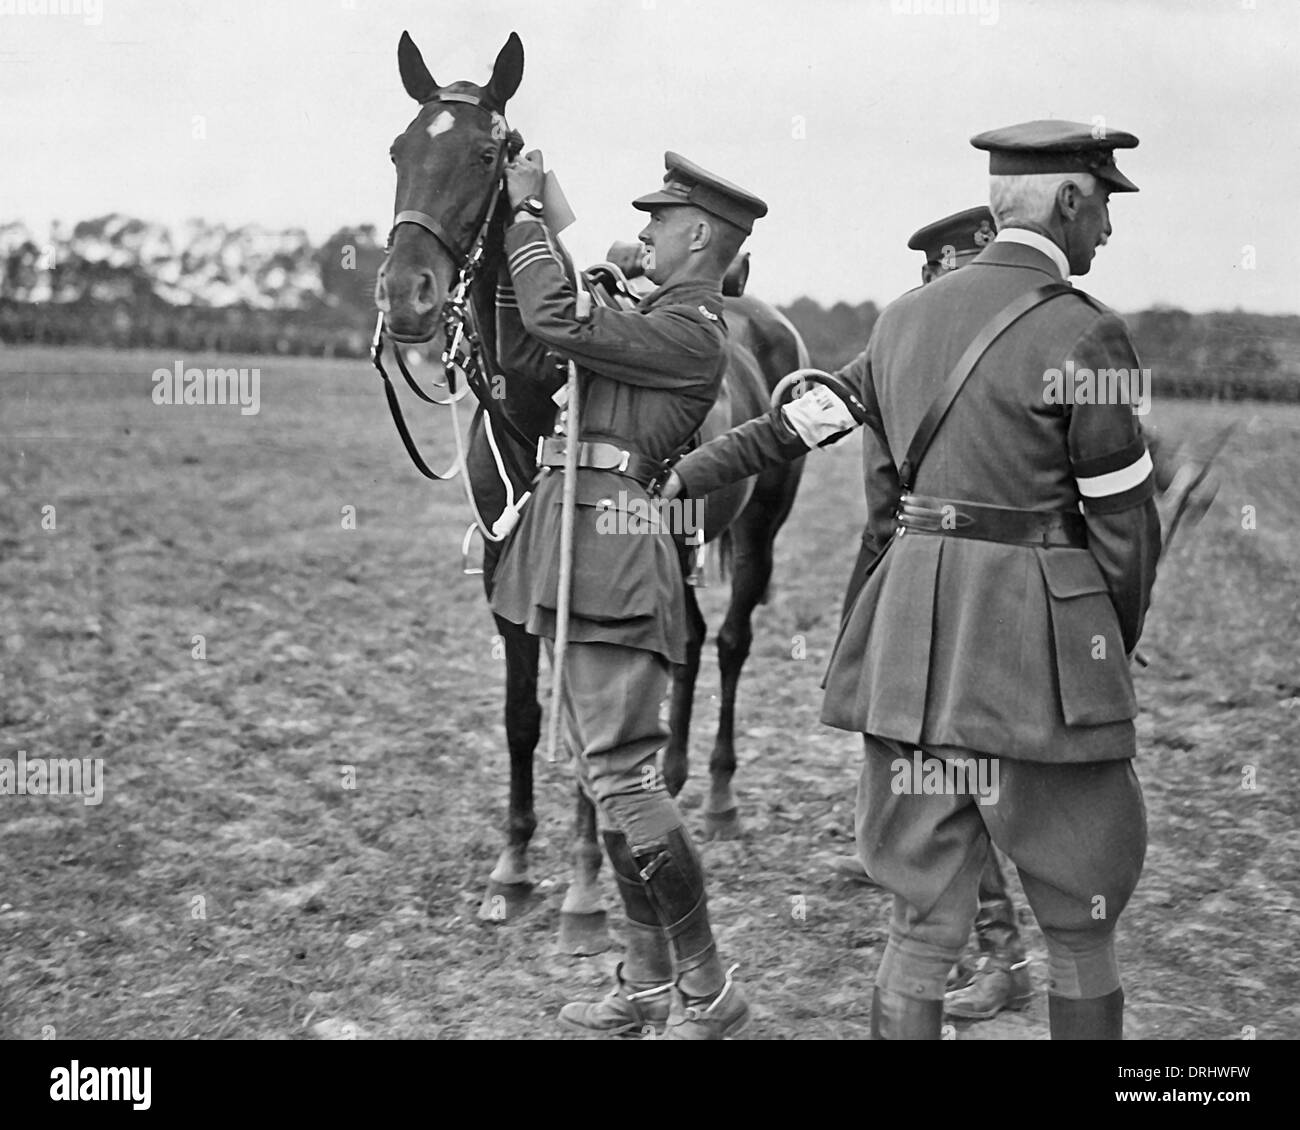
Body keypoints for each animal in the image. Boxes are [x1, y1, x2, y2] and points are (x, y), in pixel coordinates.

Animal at [371, 30, 806, 946]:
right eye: (399, 149)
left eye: (489, 153)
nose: (406, 295)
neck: (538, 394)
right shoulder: (505, 576)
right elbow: (524, 716)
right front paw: (512, 868)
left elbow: (584, 715)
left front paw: (583, 888)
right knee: (687, 642)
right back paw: (667, 775)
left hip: (759, 533)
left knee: (732, 641)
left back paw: (716, 796)